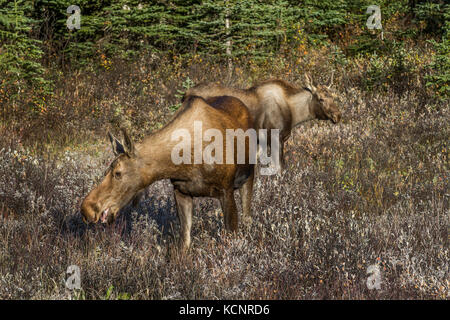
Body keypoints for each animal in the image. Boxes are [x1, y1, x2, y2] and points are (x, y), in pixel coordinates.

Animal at [81, 96, 255, 251]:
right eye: (106, 170)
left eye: (118, 173)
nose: (87, 209)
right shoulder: (181, 191)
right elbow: (184, 242)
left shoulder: (227, 191)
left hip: (249, 175)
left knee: (247, 216)